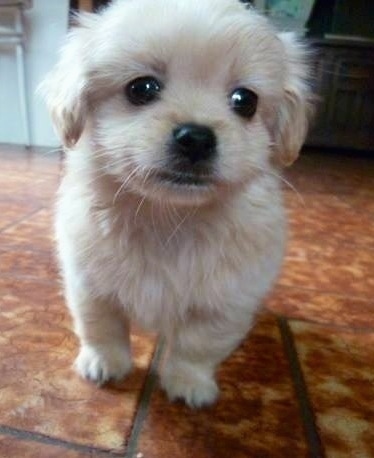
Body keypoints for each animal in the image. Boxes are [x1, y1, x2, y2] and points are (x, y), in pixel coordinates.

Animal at [41, 0, 312, 408]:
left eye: (245, 101)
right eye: (141, 88)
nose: (196, 138)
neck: (169, 218)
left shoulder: (225, 301)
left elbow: (197, 347)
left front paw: (188, 384)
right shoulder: (89, 283)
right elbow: (101, 327)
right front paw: (104, 364)